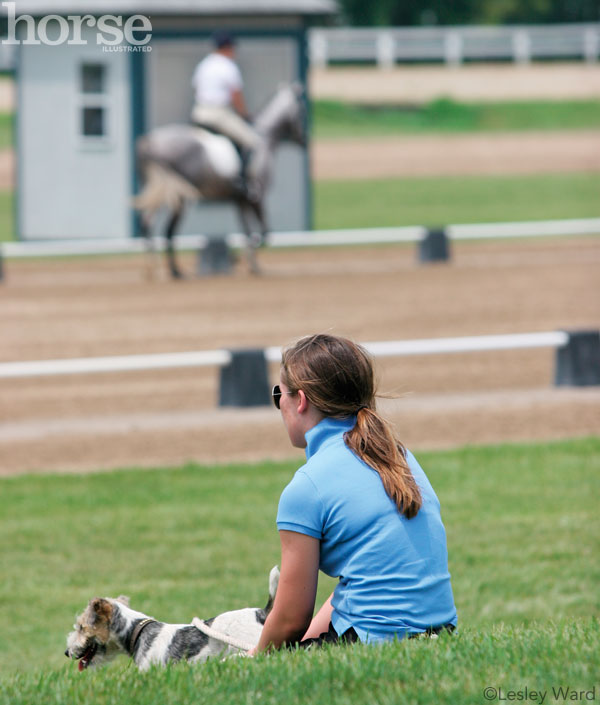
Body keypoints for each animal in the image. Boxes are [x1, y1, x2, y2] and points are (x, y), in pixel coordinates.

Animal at [134, 83, 308, 278]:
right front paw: (245, 260)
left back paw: (154, 269)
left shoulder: (241, 201)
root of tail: (150, 140)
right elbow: (264, 233)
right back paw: (173, 270)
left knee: (148, 224)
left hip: (161, 192)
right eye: (302, 110)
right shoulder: (257, 196)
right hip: (177, 195)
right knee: (166, 230)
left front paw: (251, 264)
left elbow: (248, 232)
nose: (305, 140)